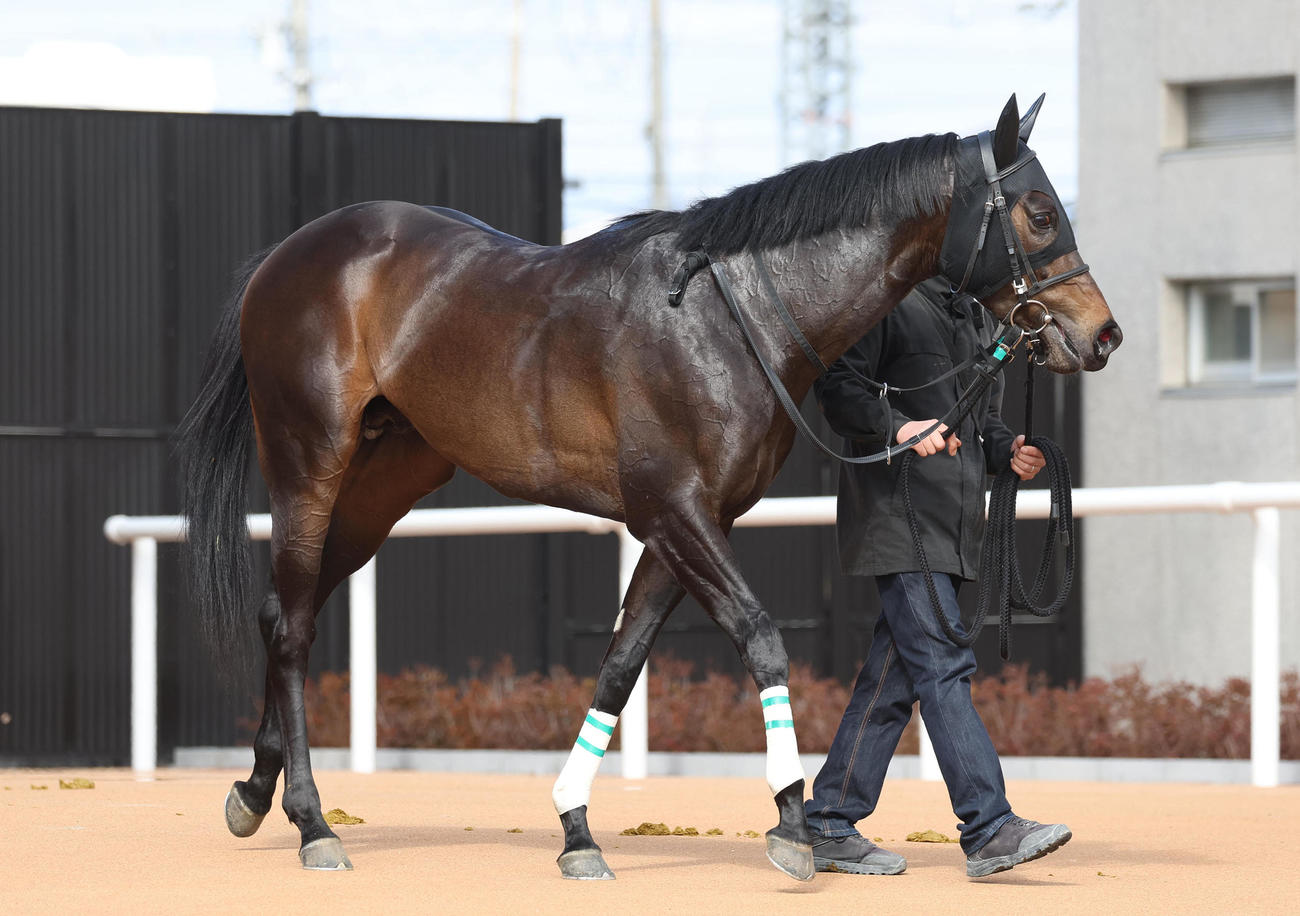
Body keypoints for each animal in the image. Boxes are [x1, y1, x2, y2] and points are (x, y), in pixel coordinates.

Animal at [178, 93, 1121, 881]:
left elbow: (620, 667)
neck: (728, 316)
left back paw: (254, 791)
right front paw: (791, 824)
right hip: (309, 461)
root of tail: (288, 254)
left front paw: (576, 830)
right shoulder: (676, 511)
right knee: (294, 625)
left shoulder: (686, 526)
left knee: (287, 610)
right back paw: (312, 823)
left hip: (388, 478)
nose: (1102, 334)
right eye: (1040, 211)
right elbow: (760, 637)